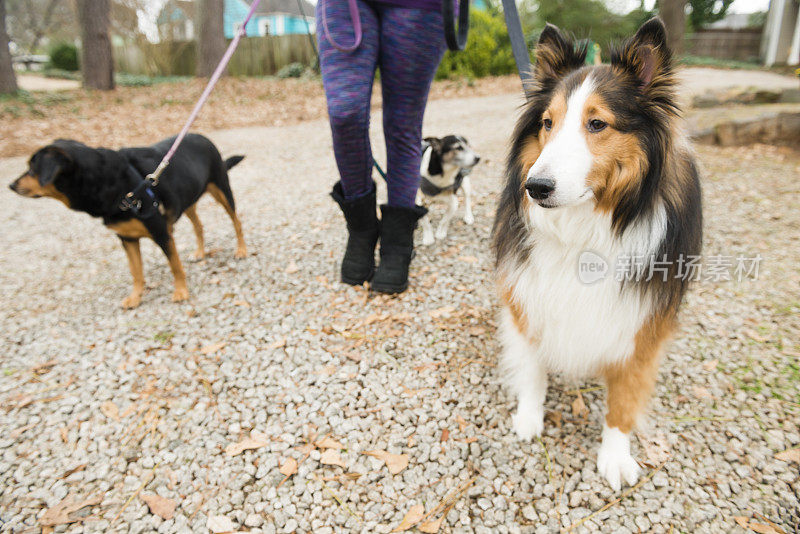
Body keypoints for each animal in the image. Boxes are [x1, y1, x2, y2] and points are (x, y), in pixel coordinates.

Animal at [9, 134, 247, 310]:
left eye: (32, 169)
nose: (11, 185)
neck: (111, 185)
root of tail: (202, 136)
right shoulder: (127, 239)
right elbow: (136, 272)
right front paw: (135, 297)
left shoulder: (162, 233)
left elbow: (175, 266)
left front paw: (181, 291)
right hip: (188, 201)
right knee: (198, 226)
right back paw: (200, 252)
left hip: (222, 191)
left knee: (236, 222)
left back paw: (241, 250)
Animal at [490, 18, 704, 492]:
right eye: (547, 123)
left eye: (597, 123)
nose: (535, 188)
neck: (586, 226)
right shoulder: (529, 294)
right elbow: (532, 365)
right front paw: (529, 416)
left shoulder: (641, 319)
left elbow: (624, 396)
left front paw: (616, 455)